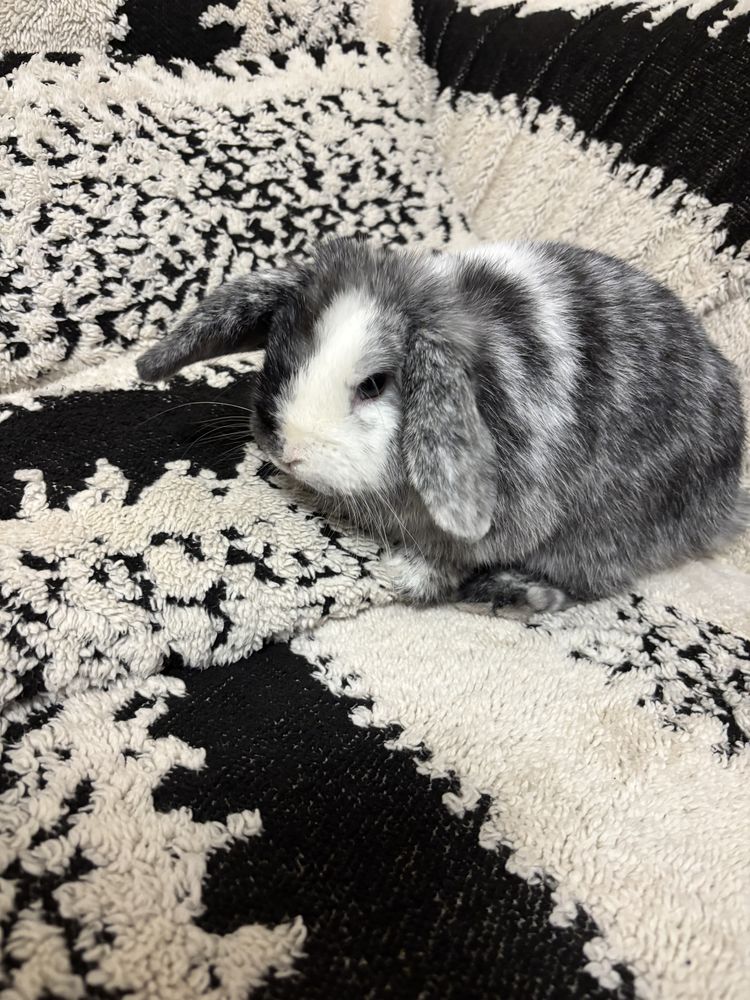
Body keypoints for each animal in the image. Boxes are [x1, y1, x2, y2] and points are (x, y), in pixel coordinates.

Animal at [136, 236, 746, 613]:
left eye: (375, 384)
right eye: (279, 354)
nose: (288, 451)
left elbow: (451, 557)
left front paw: (401, 576)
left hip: (605, 532)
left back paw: (510, 596)